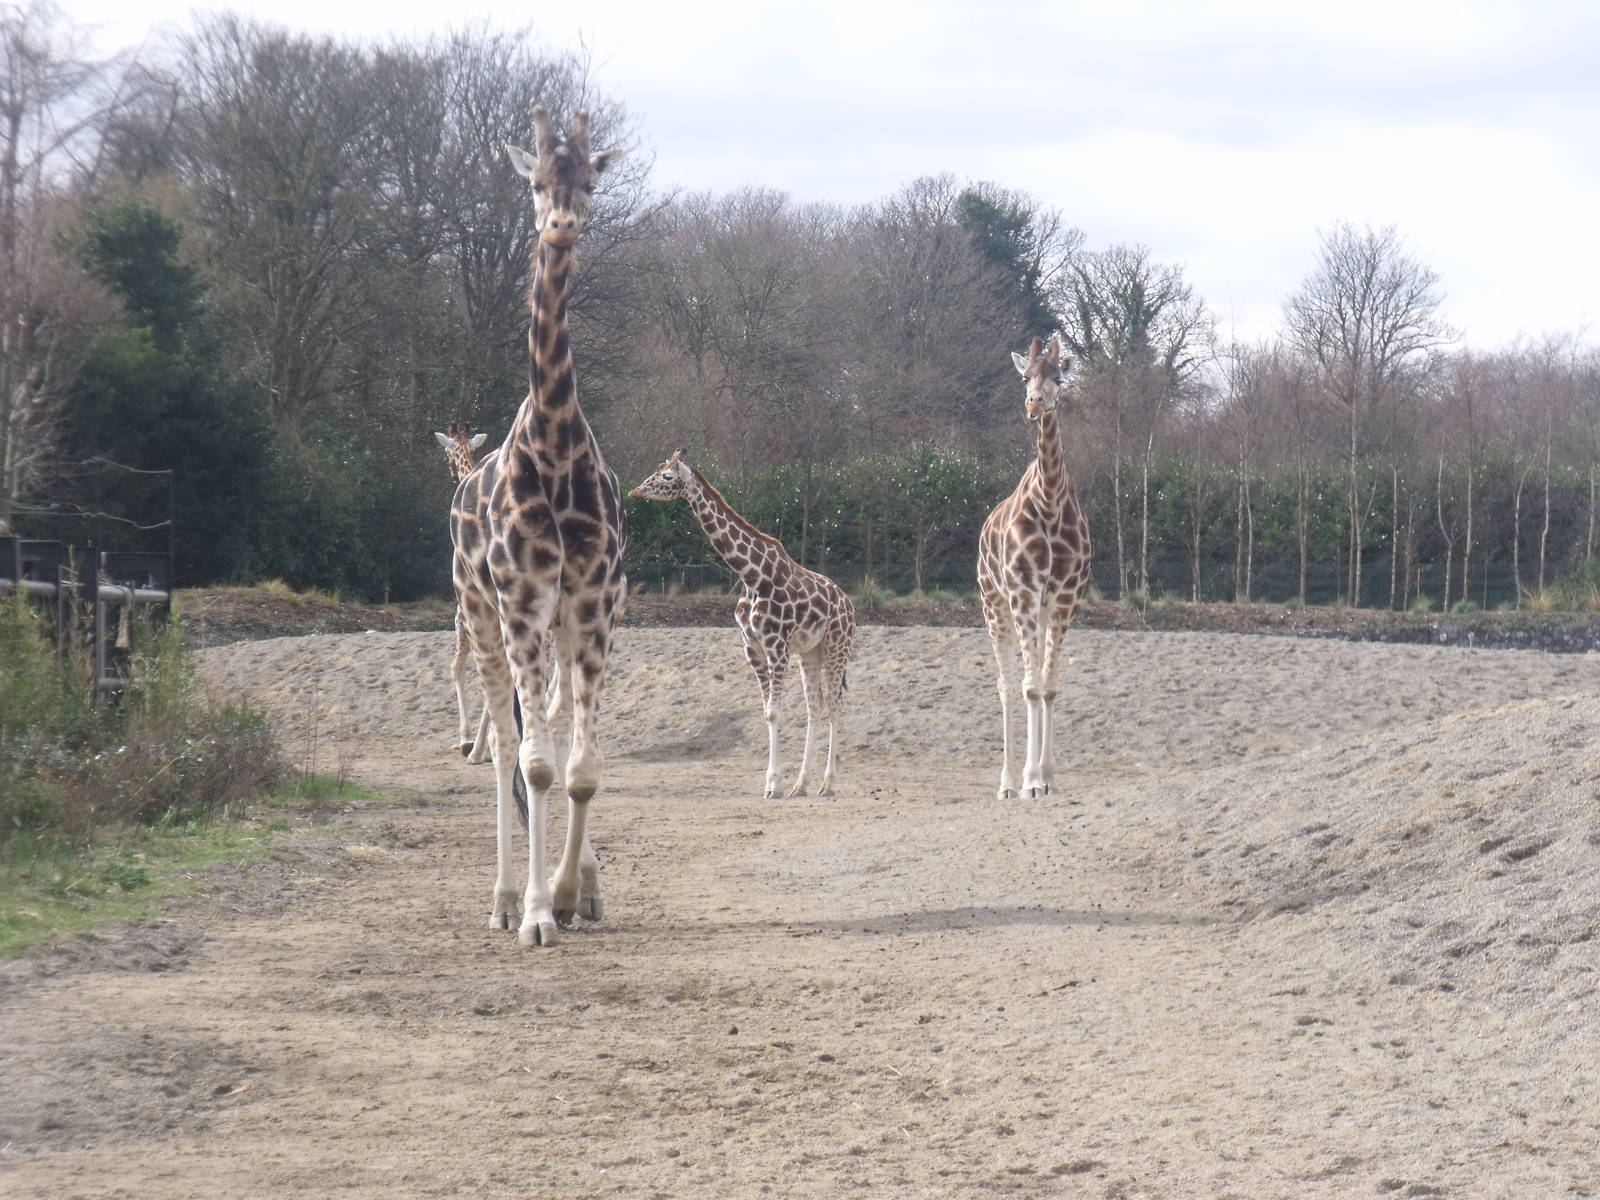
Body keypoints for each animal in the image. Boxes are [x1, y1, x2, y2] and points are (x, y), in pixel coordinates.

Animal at [630, 451, 856, 798]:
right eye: (656, 470)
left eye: (667, 476)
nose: (636, 492)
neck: (752, 576)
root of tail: (849, 604)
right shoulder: (752, 647)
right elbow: (767, 712)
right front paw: (775, 785)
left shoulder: (777, 646)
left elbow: (775, 711)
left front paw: (773, 785)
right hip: (810, 652)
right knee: (815, 708)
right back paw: (801, 785)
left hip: (837, 646)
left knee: (834, 706)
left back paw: (828, 785)